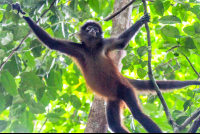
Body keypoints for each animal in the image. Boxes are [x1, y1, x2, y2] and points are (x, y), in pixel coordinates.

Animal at [12, 2, 200, 133]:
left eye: (96, 29)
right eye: (89, 28)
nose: (93, 30)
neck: (92, 49)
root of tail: (123, 80)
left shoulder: (104, 44)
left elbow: (121, 43)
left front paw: (141, 21)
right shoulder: (78, 49)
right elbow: (52, 43)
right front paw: (23, 15)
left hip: (124, 89)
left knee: (138, 114)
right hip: (114, 98)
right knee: (115, 125)